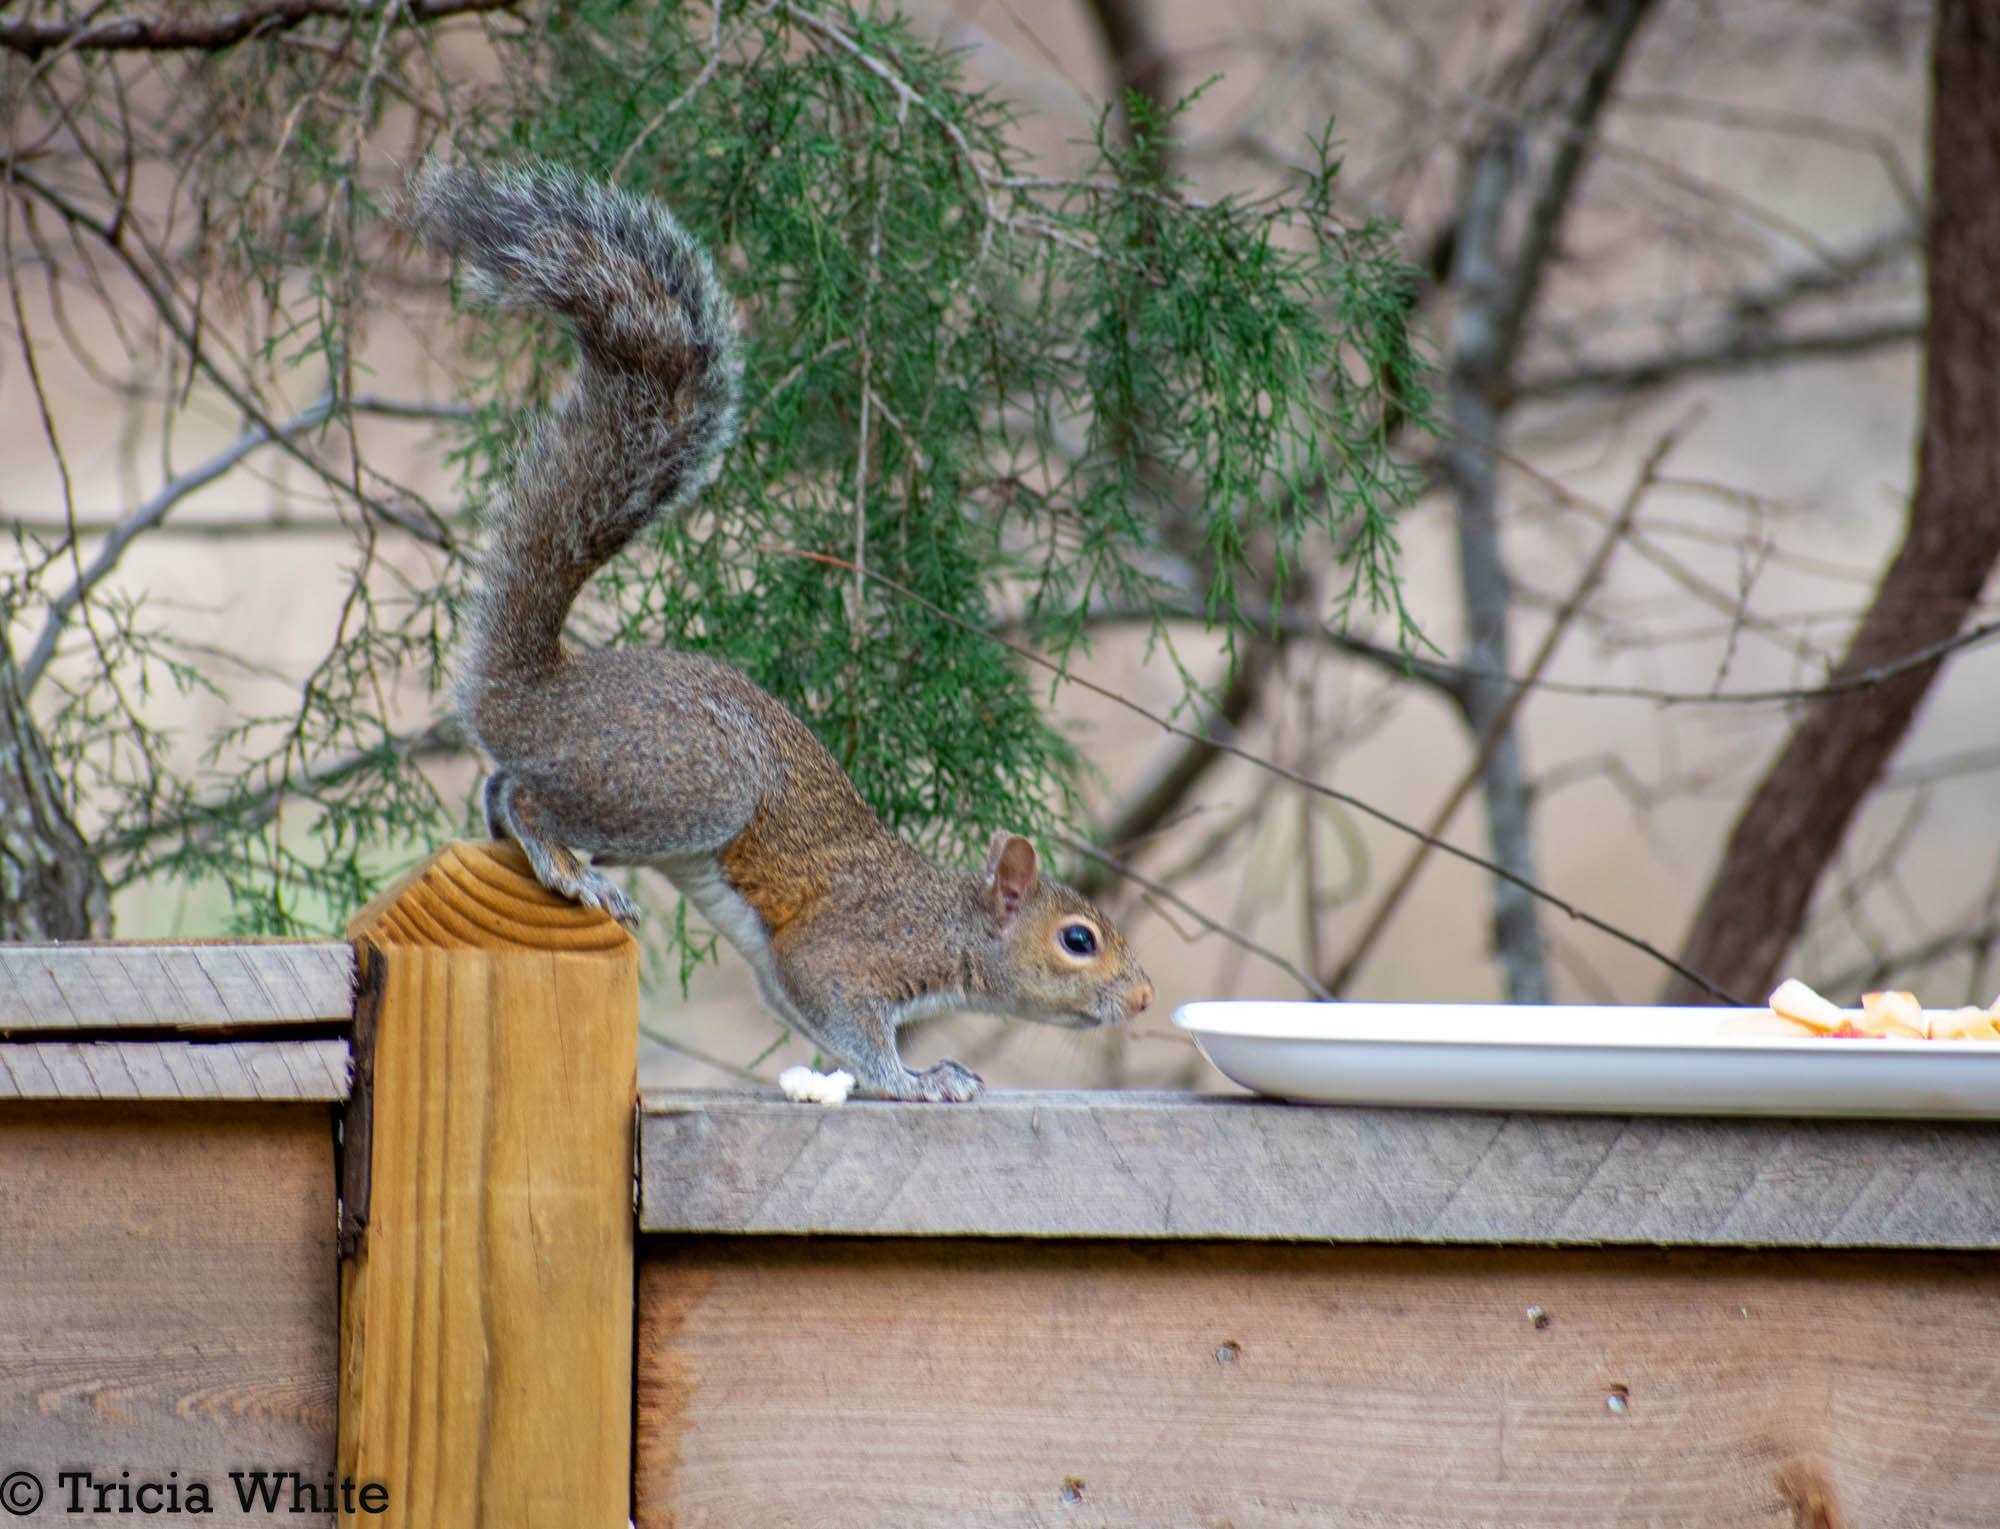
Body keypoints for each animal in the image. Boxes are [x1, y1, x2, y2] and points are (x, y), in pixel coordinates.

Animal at [408, 158, 1160, 1096]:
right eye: (1078, 940)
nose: (1143, 998)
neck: (947, 923)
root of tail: (532, 690)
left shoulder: (786, 975)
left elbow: (811, 1020)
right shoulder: (843, 953)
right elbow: (851, 1019)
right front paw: (915, 1079)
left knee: (498, 786)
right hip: (683, 784)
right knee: (526, 794)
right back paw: (569, 866)